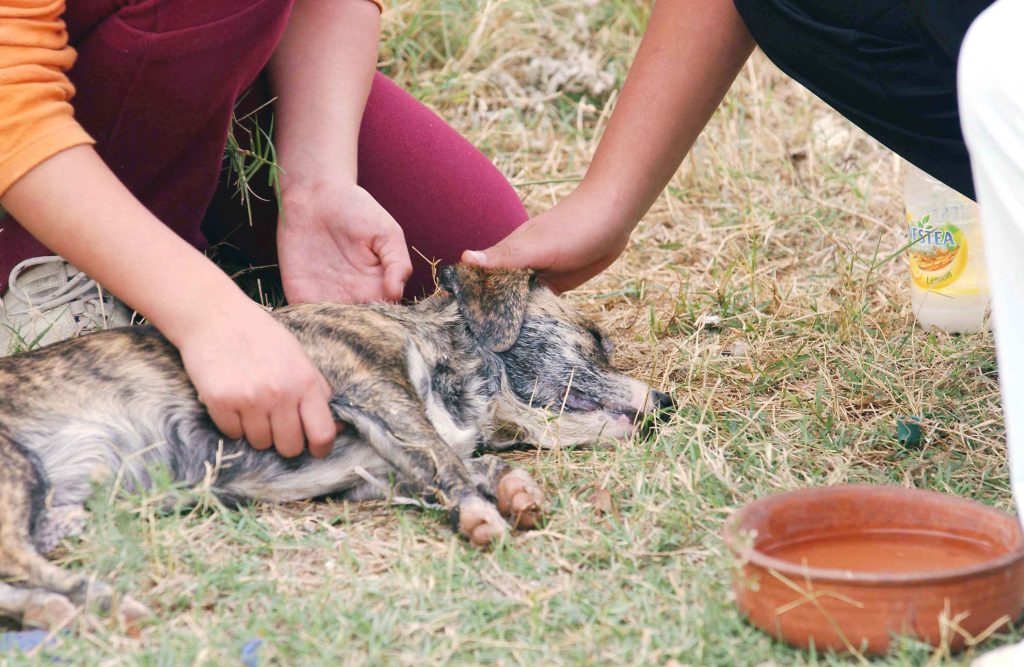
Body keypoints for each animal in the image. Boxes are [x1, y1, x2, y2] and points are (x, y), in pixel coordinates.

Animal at [0, 264, 671, 627]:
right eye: (596, 338)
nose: (668, 404)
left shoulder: (375, 470)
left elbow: (455, 463)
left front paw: (511, 487)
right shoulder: (372, 388)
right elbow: (446, 459)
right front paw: (484, 512)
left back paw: (50, 613)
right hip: (18, 478)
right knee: (31, 568)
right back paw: (110, 604)